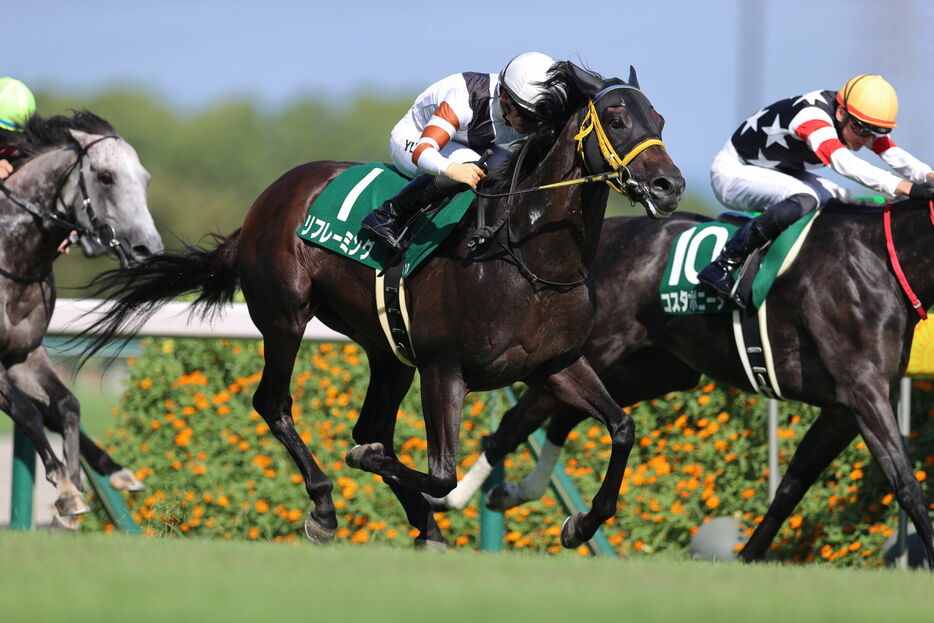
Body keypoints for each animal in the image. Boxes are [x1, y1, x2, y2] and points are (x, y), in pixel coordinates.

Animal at [0, 112, 164, 520]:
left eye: (145, 179)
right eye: (105, 176)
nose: (148, 249)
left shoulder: (24, 354)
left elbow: (66, 405)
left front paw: (77, 478)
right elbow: (27, 411)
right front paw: (66, 488)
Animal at [77, 63, 684, 548]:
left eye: (659, 120)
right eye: (617, 119)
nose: (669, 184)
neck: (524, 259)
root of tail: (263, 204)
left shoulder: (555, 364)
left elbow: (622, 427)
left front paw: (581, 523)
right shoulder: (444, 368)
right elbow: (440, 473)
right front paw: (372, 469)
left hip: (387, 350)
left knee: (369, 423)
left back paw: (423, 526)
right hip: (285, 318)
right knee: (274, 402)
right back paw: (325, 506)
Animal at [442, 202, 934, 568]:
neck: (877, 261)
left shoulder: (842, 409)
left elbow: (791, 487)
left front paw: (748, 557)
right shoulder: (863, 390)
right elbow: (908, 484)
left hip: (657, 369)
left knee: (571, 415)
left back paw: (527, 498)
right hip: (583, 353)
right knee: (517, 420)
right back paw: (459, 496)